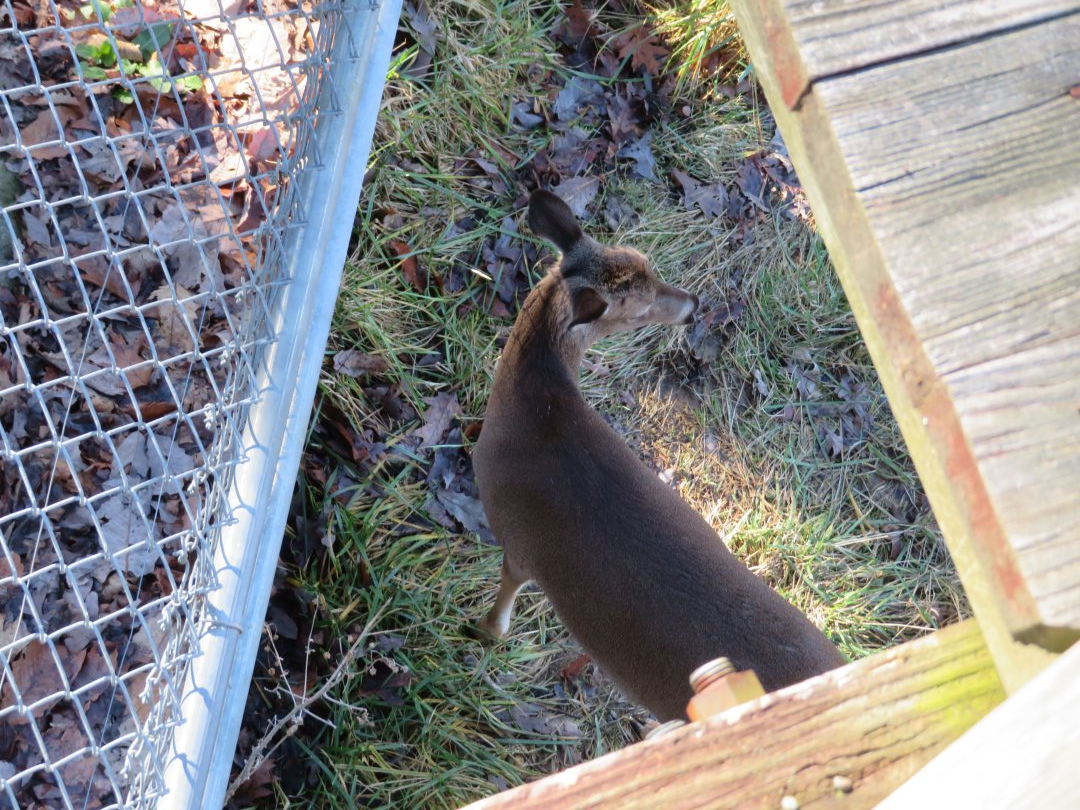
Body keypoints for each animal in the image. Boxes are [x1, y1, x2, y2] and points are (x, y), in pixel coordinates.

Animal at [471, 190, 846, 722]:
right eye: (642, 299)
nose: (693, 305)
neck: (534, 414)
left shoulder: (519, 539)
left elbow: (503, 602)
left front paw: (483, 632)